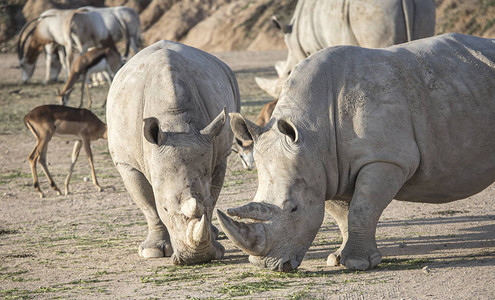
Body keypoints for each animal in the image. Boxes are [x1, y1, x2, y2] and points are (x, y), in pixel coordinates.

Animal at [107, 39, 241, 264]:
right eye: (166, 208)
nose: (197, 259)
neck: (176, 122)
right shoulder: (127, 164)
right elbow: (148, 205)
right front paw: (153, 251)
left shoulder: (219, 154)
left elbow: (213, 196)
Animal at [220, 33, 495, 272]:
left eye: (294, 209)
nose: (267, 266)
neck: (312, 134)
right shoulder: (326, 166)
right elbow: (342, 215)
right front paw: (338, 259)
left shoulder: (386, 158)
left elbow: (362, 210)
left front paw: (357, 264)